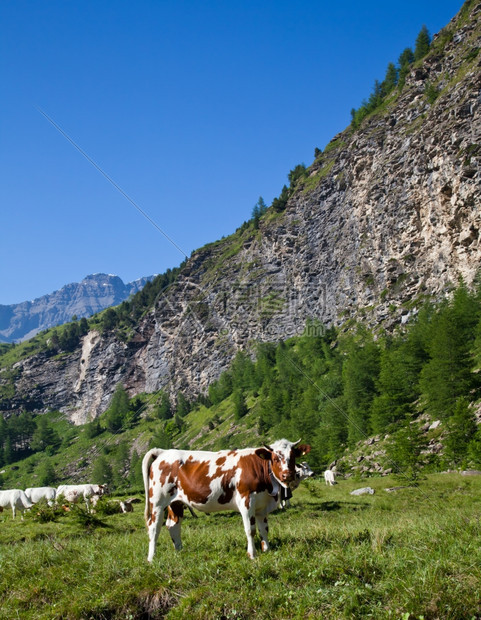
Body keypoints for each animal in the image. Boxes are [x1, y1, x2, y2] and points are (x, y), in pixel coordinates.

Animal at [142, 436, 312, 560]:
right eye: (275, 458)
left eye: (293, 457)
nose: (287, 475)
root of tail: (163, 452)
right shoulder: (246, 501)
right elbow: (250, 530)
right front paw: (252, 554)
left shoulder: (262, 505)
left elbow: (264, 529)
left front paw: (267, 550)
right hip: (157, 501)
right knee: (154, 527)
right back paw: (151, 558)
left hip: (176, 502)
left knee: (173, 525)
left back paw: (179, 552)